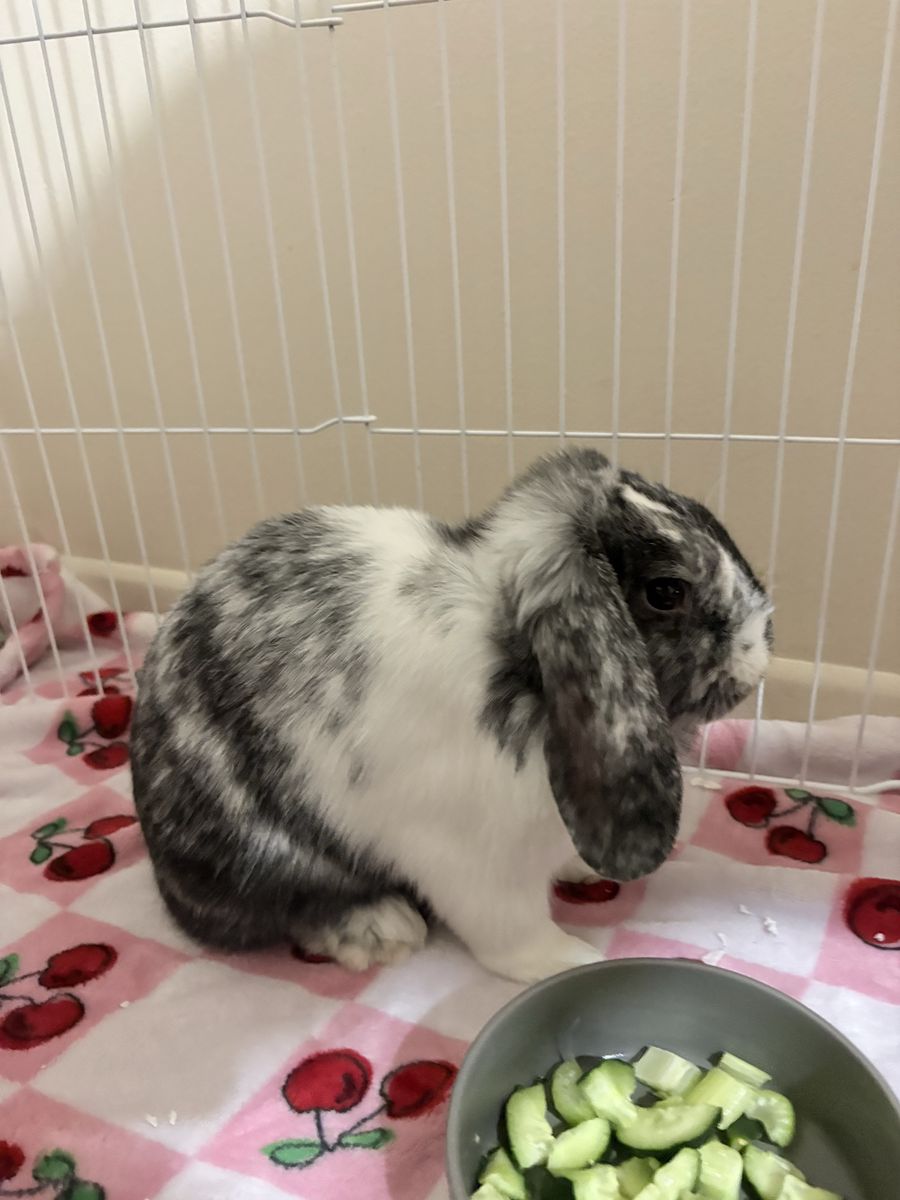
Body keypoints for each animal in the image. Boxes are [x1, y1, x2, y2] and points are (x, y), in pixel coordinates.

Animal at [130, 449, 773, 983]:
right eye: (666, 591)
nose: (760, 655)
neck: (518, 667)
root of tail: (164, 872)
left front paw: (583, 872)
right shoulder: (473, 856)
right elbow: (510, 930)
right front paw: (569, 961)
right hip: (261, 856)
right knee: (280, 911)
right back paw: (378, 930)